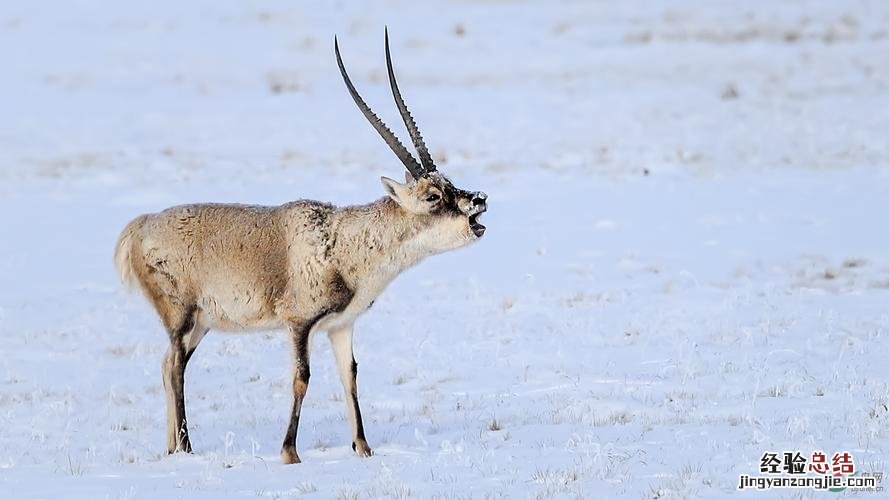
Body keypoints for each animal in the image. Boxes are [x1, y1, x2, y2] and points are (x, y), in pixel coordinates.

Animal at [112, 30, 486, 464]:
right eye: (432, 196)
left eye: (450, 182)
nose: (478, 200)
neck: (341, 241)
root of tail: (141, 226)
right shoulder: (299, 324)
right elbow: (302, 378)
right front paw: (290, 452)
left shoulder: (341, 326)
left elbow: (350, 376)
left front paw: (363, 448)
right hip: (180, 315)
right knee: (174, 367)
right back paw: (187, 447)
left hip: (201, 323)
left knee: (167, 364)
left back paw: (173, 448)